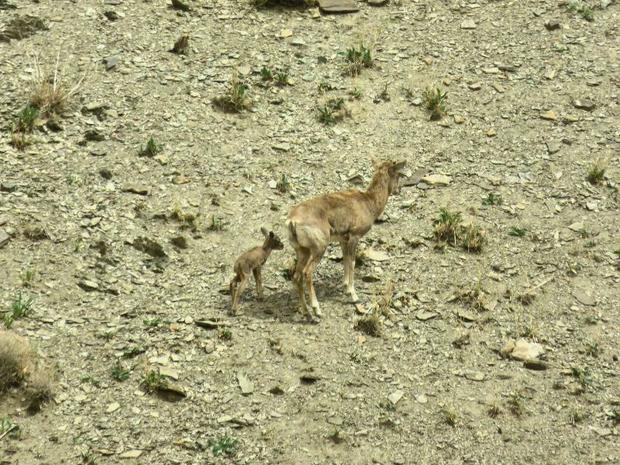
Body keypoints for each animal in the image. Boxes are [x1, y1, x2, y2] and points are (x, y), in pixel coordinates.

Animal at [286, 158, 406, 320]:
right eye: (398, 174)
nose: (399, 190)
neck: (368, 202)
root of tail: (293, 221)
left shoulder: (343, 241)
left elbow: (345, 260)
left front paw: (345, 287)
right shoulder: (354, 237)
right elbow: (352, 262)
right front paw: (354, 295)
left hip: (303, 251)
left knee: (297, 276)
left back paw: (306, 312)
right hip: (318, 250)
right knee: (307, 273)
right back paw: (317, 310)